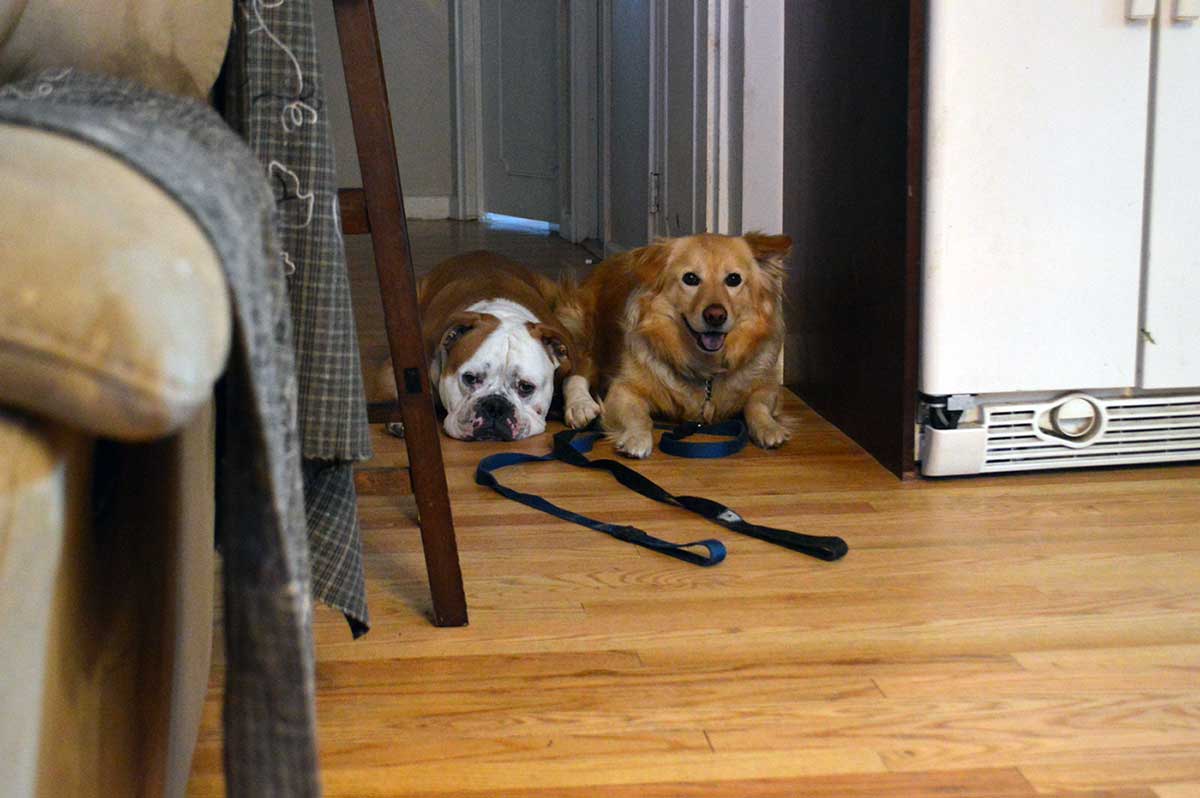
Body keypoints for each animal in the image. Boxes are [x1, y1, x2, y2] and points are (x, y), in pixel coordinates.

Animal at [559, 231, 792, 453]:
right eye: (690, 278)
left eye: (734, 279)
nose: (715, 316)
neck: (706, 368)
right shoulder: (623, 388)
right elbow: (637, 416)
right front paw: (636, 437)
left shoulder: (767, 385)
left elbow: (757, 404)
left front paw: (769, 427)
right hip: (584, 332)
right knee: (577, 371)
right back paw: (580, 406)